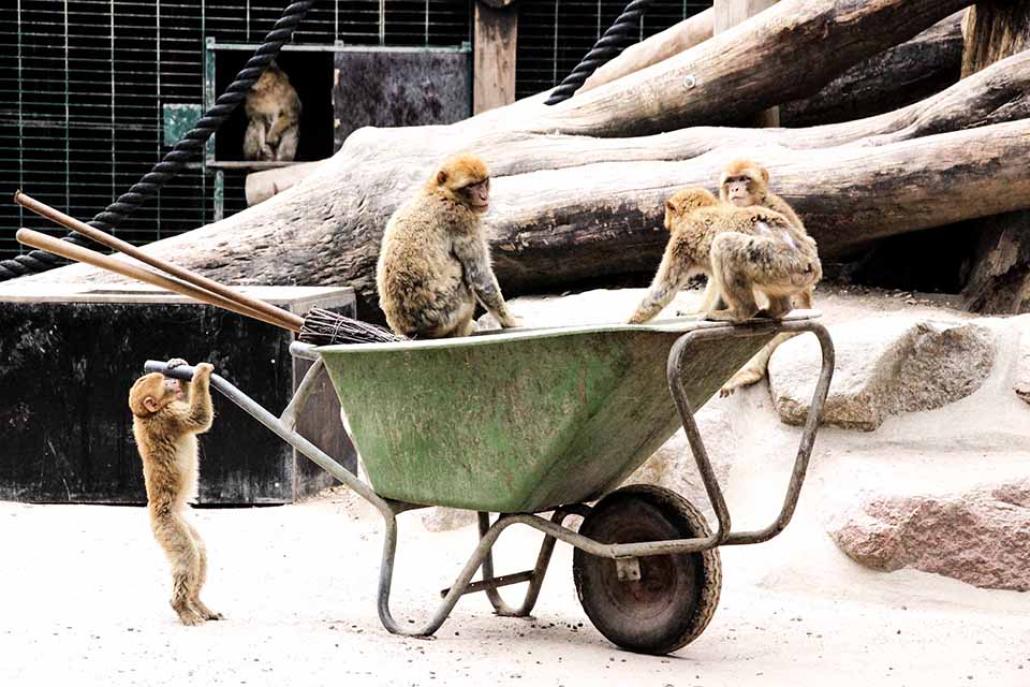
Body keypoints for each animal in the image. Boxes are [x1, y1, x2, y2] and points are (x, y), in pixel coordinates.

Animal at [128, 362, 221, 626]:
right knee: (188, 556)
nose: (173, 382)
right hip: (168, 527)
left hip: (180, 524)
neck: (146, 415)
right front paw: (201, 373)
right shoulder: (169, 417)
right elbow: (198, 419)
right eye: (165, 384)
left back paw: (197, 603)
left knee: (199, 551)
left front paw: (176, 364)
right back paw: (181, 606)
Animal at [376, 153, 523, 341]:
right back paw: (464, 330)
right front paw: (511, 321)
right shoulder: (464, 220)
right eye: (471, 186)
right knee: (462, 277)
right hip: (445, 313)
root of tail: (409, 330)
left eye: (483, 182)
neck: (440, 192)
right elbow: (480, 277)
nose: (484, 196)